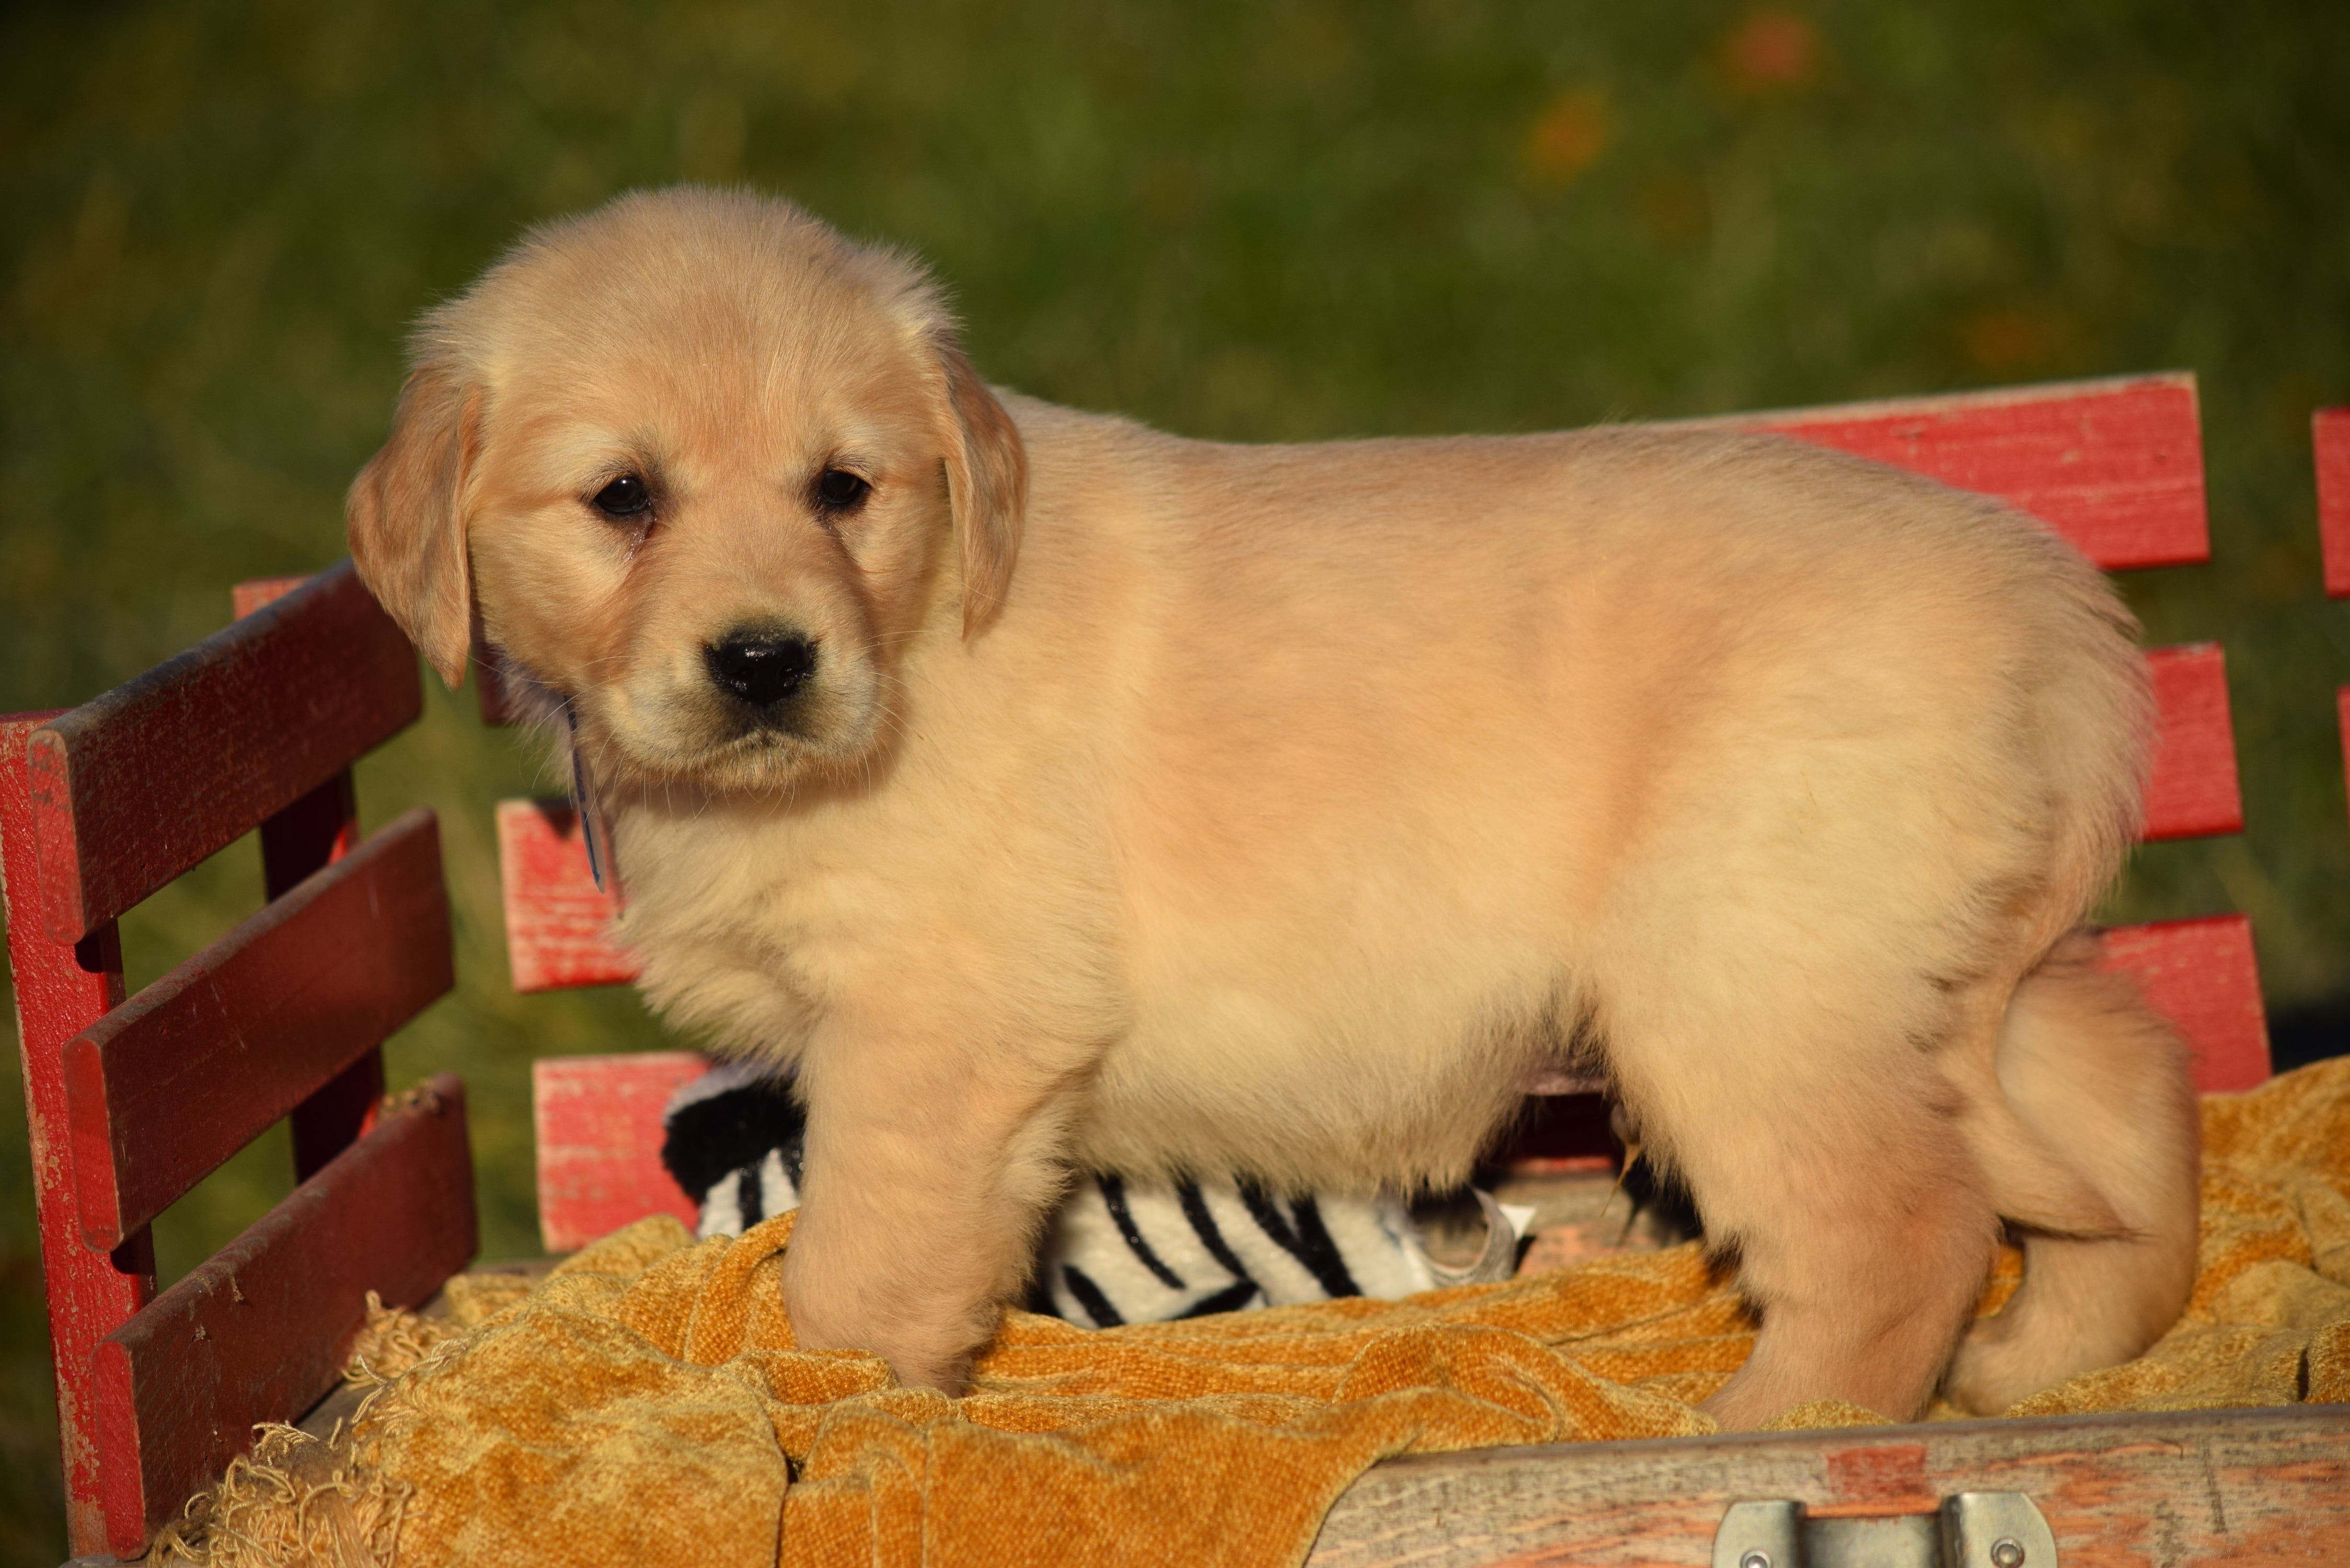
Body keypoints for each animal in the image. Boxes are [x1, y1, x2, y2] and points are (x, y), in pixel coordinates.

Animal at [348, 185, 2199, 1420]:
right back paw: (2048, 1359)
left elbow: (855, 1270)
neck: (924, 621)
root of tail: (2061, 611)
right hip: (1940, 966)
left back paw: (1757, 1435)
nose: (763, 664)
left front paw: (824, 1424)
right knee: (2131, 1105)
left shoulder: (939, 1029)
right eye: (623, 499)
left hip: (1751, 979)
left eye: (842, 489)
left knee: (1899, 1234)